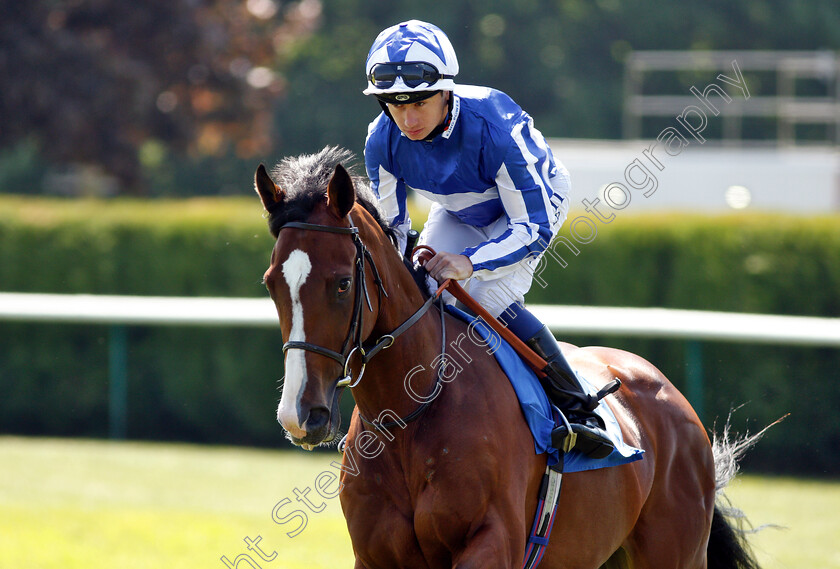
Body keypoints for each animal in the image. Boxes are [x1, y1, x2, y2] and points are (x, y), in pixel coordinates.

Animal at [253, 148, 756, 568]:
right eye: (271, 282)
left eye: (342, 283)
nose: (302, 414)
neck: (411, 415)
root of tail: (677, 403)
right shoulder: (376, 556)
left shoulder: (494, 542)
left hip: (676, 554)